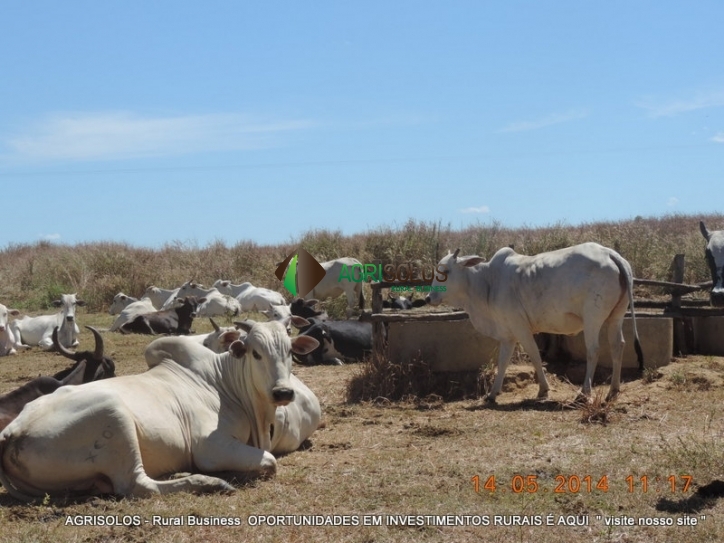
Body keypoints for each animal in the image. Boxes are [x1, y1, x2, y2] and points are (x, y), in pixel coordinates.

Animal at [0, 318, 320, 502]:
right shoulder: (210, 446)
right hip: (114, 416)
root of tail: (12, 432)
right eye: (256, 353)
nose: (283, 392)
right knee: (138, 485)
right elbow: (269, 461)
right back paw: (209, 482)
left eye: (289, 351)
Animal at [428, 244, 640, 402]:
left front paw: (543, 389)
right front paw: (492, 394)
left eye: (445, 271)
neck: (487, 283)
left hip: (592, 318)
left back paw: (584, 392)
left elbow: (535, 356)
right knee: (618, 346)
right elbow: (503, 362)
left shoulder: (521, 328)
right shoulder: (508, 334)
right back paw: (613, 390)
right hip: (616, 316)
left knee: (593, 350)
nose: (429, 297)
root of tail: (611, 254)